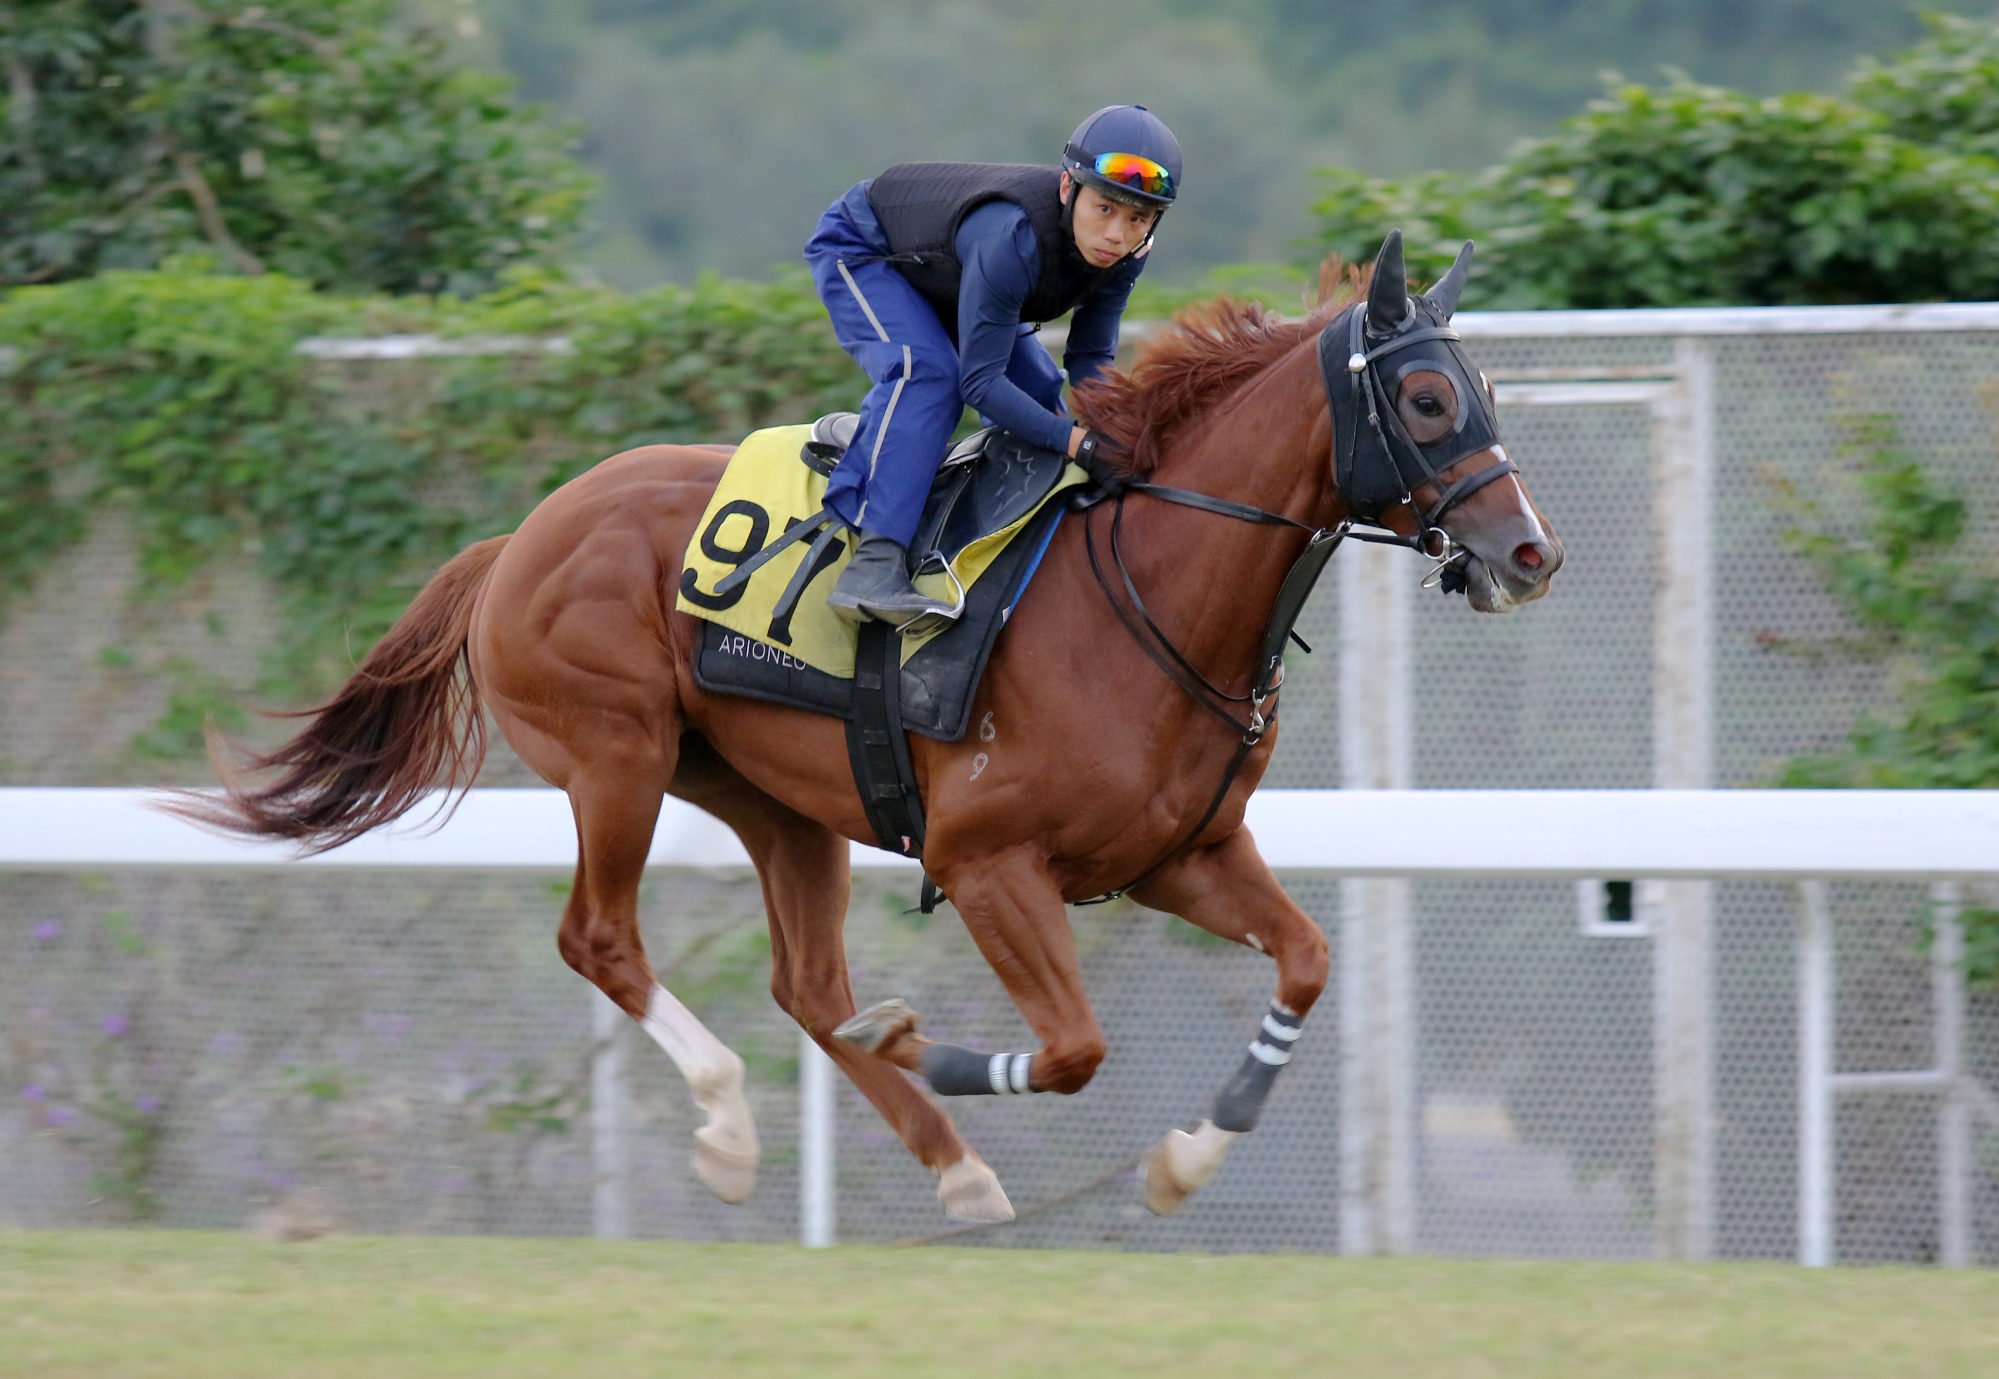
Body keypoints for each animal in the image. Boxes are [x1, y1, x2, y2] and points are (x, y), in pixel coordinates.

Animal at [175, 230, 1559, 1223]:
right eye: (1425, 399)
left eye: (1486, 388)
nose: (1529, 553)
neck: (1151, 594)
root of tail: (519, 535)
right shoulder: (986, 859)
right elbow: (1070, 1047)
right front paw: (922, 1044)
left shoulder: (1180, 852)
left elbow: (1306, 960)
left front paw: (1186, 1158)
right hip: (615, 756)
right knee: (602, 938)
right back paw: (733, 1128)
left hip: (772, 796)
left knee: (803, 983)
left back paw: (955, 1167)